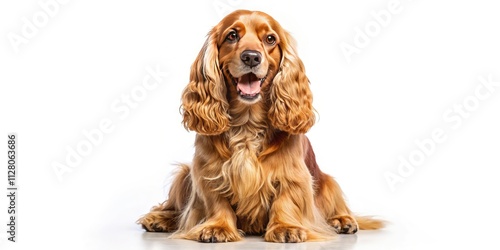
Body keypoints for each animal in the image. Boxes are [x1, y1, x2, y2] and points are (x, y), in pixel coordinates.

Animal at [137, 9, 382, 242]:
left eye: (270, 39)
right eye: (232, 35)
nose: (251, 57)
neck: (247, 123)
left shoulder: (292, 174)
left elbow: (286, 200)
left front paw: (286, 227)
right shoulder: (206, 172)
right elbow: (215, 202)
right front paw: (218, 226)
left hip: (327, 182)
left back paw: (342, 220)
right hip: (184, 173)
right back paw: (159, 218)